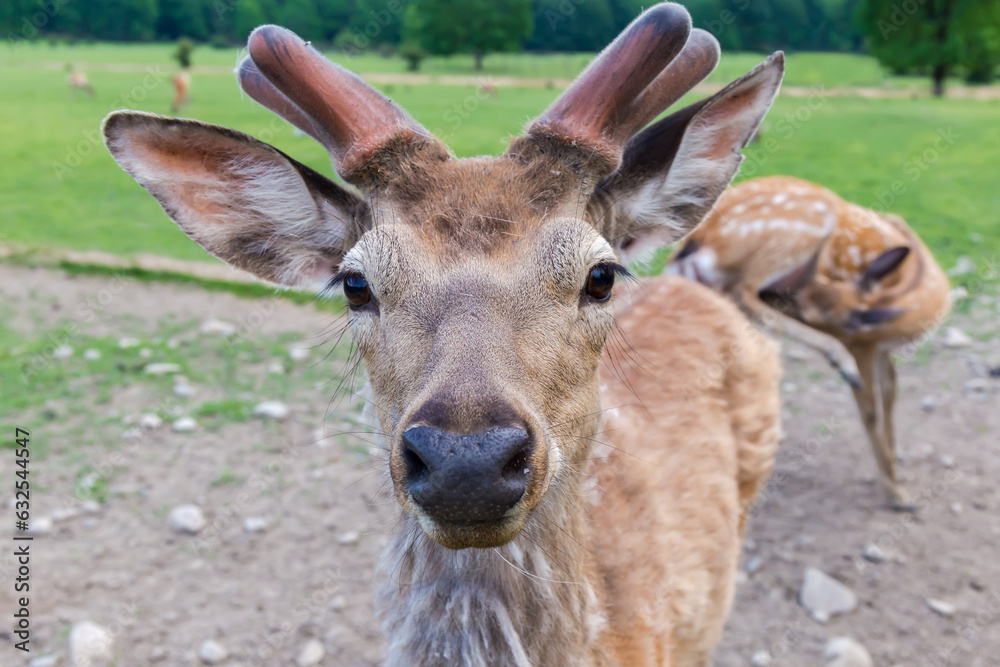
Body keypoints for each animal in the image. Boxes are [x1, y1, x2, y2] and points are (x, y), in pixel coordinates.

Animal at [668, 176, 948, 512]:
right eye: (805, 302)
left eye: (809, 289)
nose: (779, 294)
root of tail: (691, 249)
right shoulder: (861, 343)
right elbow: (871, 410)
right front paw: (897, 495)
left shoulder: (882, 348)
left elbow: (891, 396)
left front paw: (899, 482)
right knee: (742, 291)